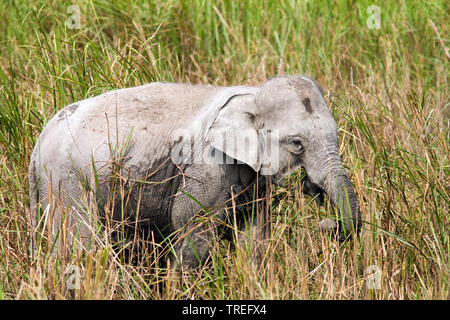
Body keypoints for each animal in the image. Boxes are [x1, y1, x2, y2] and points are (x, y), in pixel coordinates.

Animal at [28, 74, 360, 268]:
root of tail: (37, 145)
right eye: (297, 143)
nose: (327, 222)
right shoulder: (208, 165)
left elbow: (255, 235)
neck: (251, 93)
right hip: (66, 180)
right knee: (80, 247)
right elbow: (191, 224)